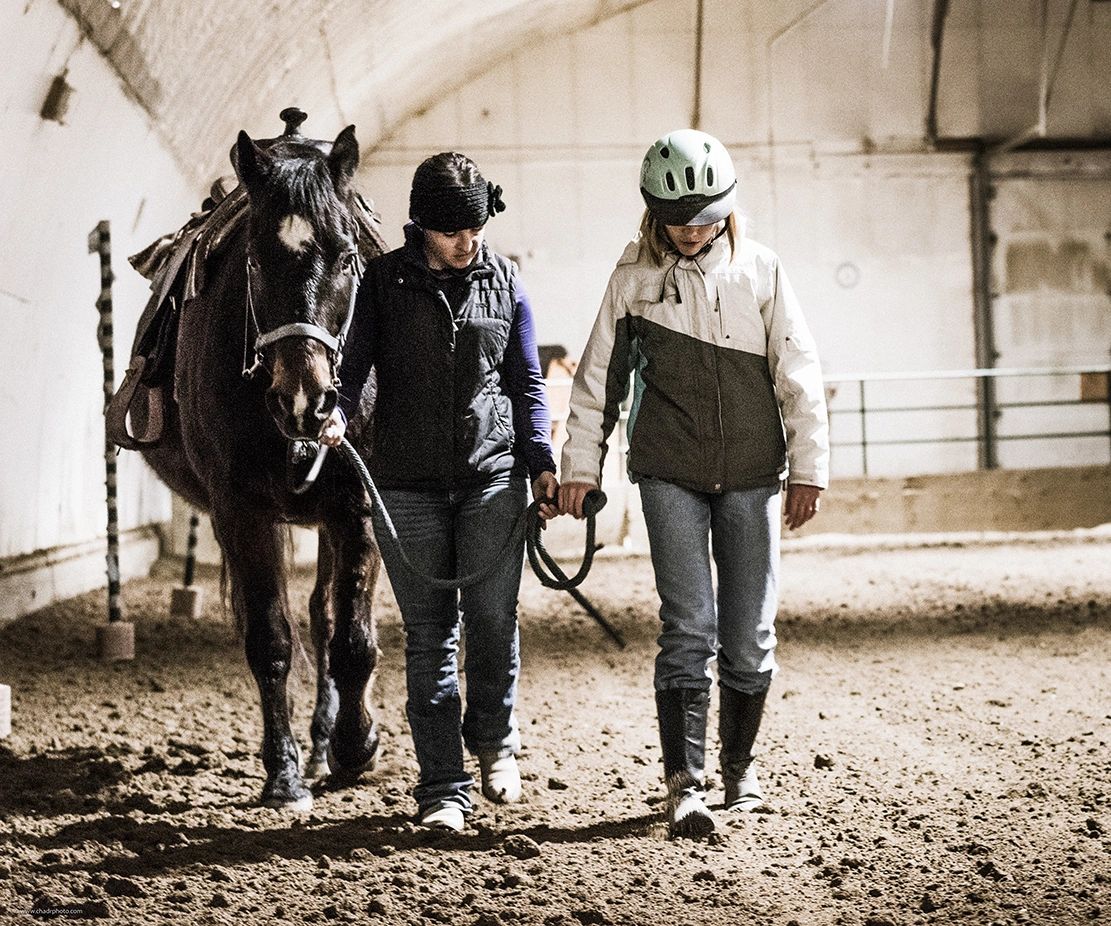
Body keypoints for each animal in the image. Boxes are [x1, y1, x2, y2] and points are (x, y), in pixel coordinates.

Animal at [141, 124, 384, 809]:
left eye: (347, 257)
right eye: (253, 261)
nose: (305, 399)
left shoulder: (357, 505)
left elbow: (350, 639)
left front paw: (356, 745)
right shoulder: (241, 510)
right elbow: (269, 640)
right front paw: (284, 771)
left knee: (326, 618)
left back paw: (329, 739)